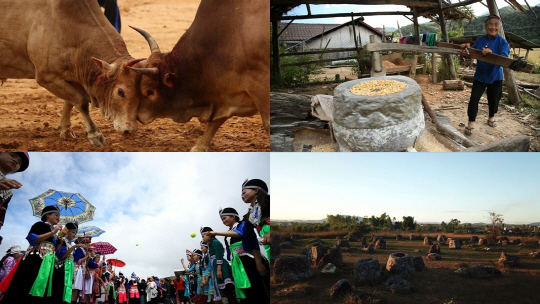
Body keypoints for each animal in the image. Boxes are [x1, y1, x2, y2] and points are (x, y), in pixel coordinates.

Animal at [0, 0, 150, 147]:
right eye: (120, 92)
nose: (130, 131)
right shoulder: (46, 77)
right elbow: (81, 102)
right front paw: (94, 134)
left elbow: (69, 102)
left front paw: (65, 130)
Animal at [131, 0, 270, 152]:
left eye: (150, 91)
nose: (138, 115)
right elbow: (216, 121)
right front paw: (199, 147)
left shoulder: (259, 84)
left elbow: (267, 124)